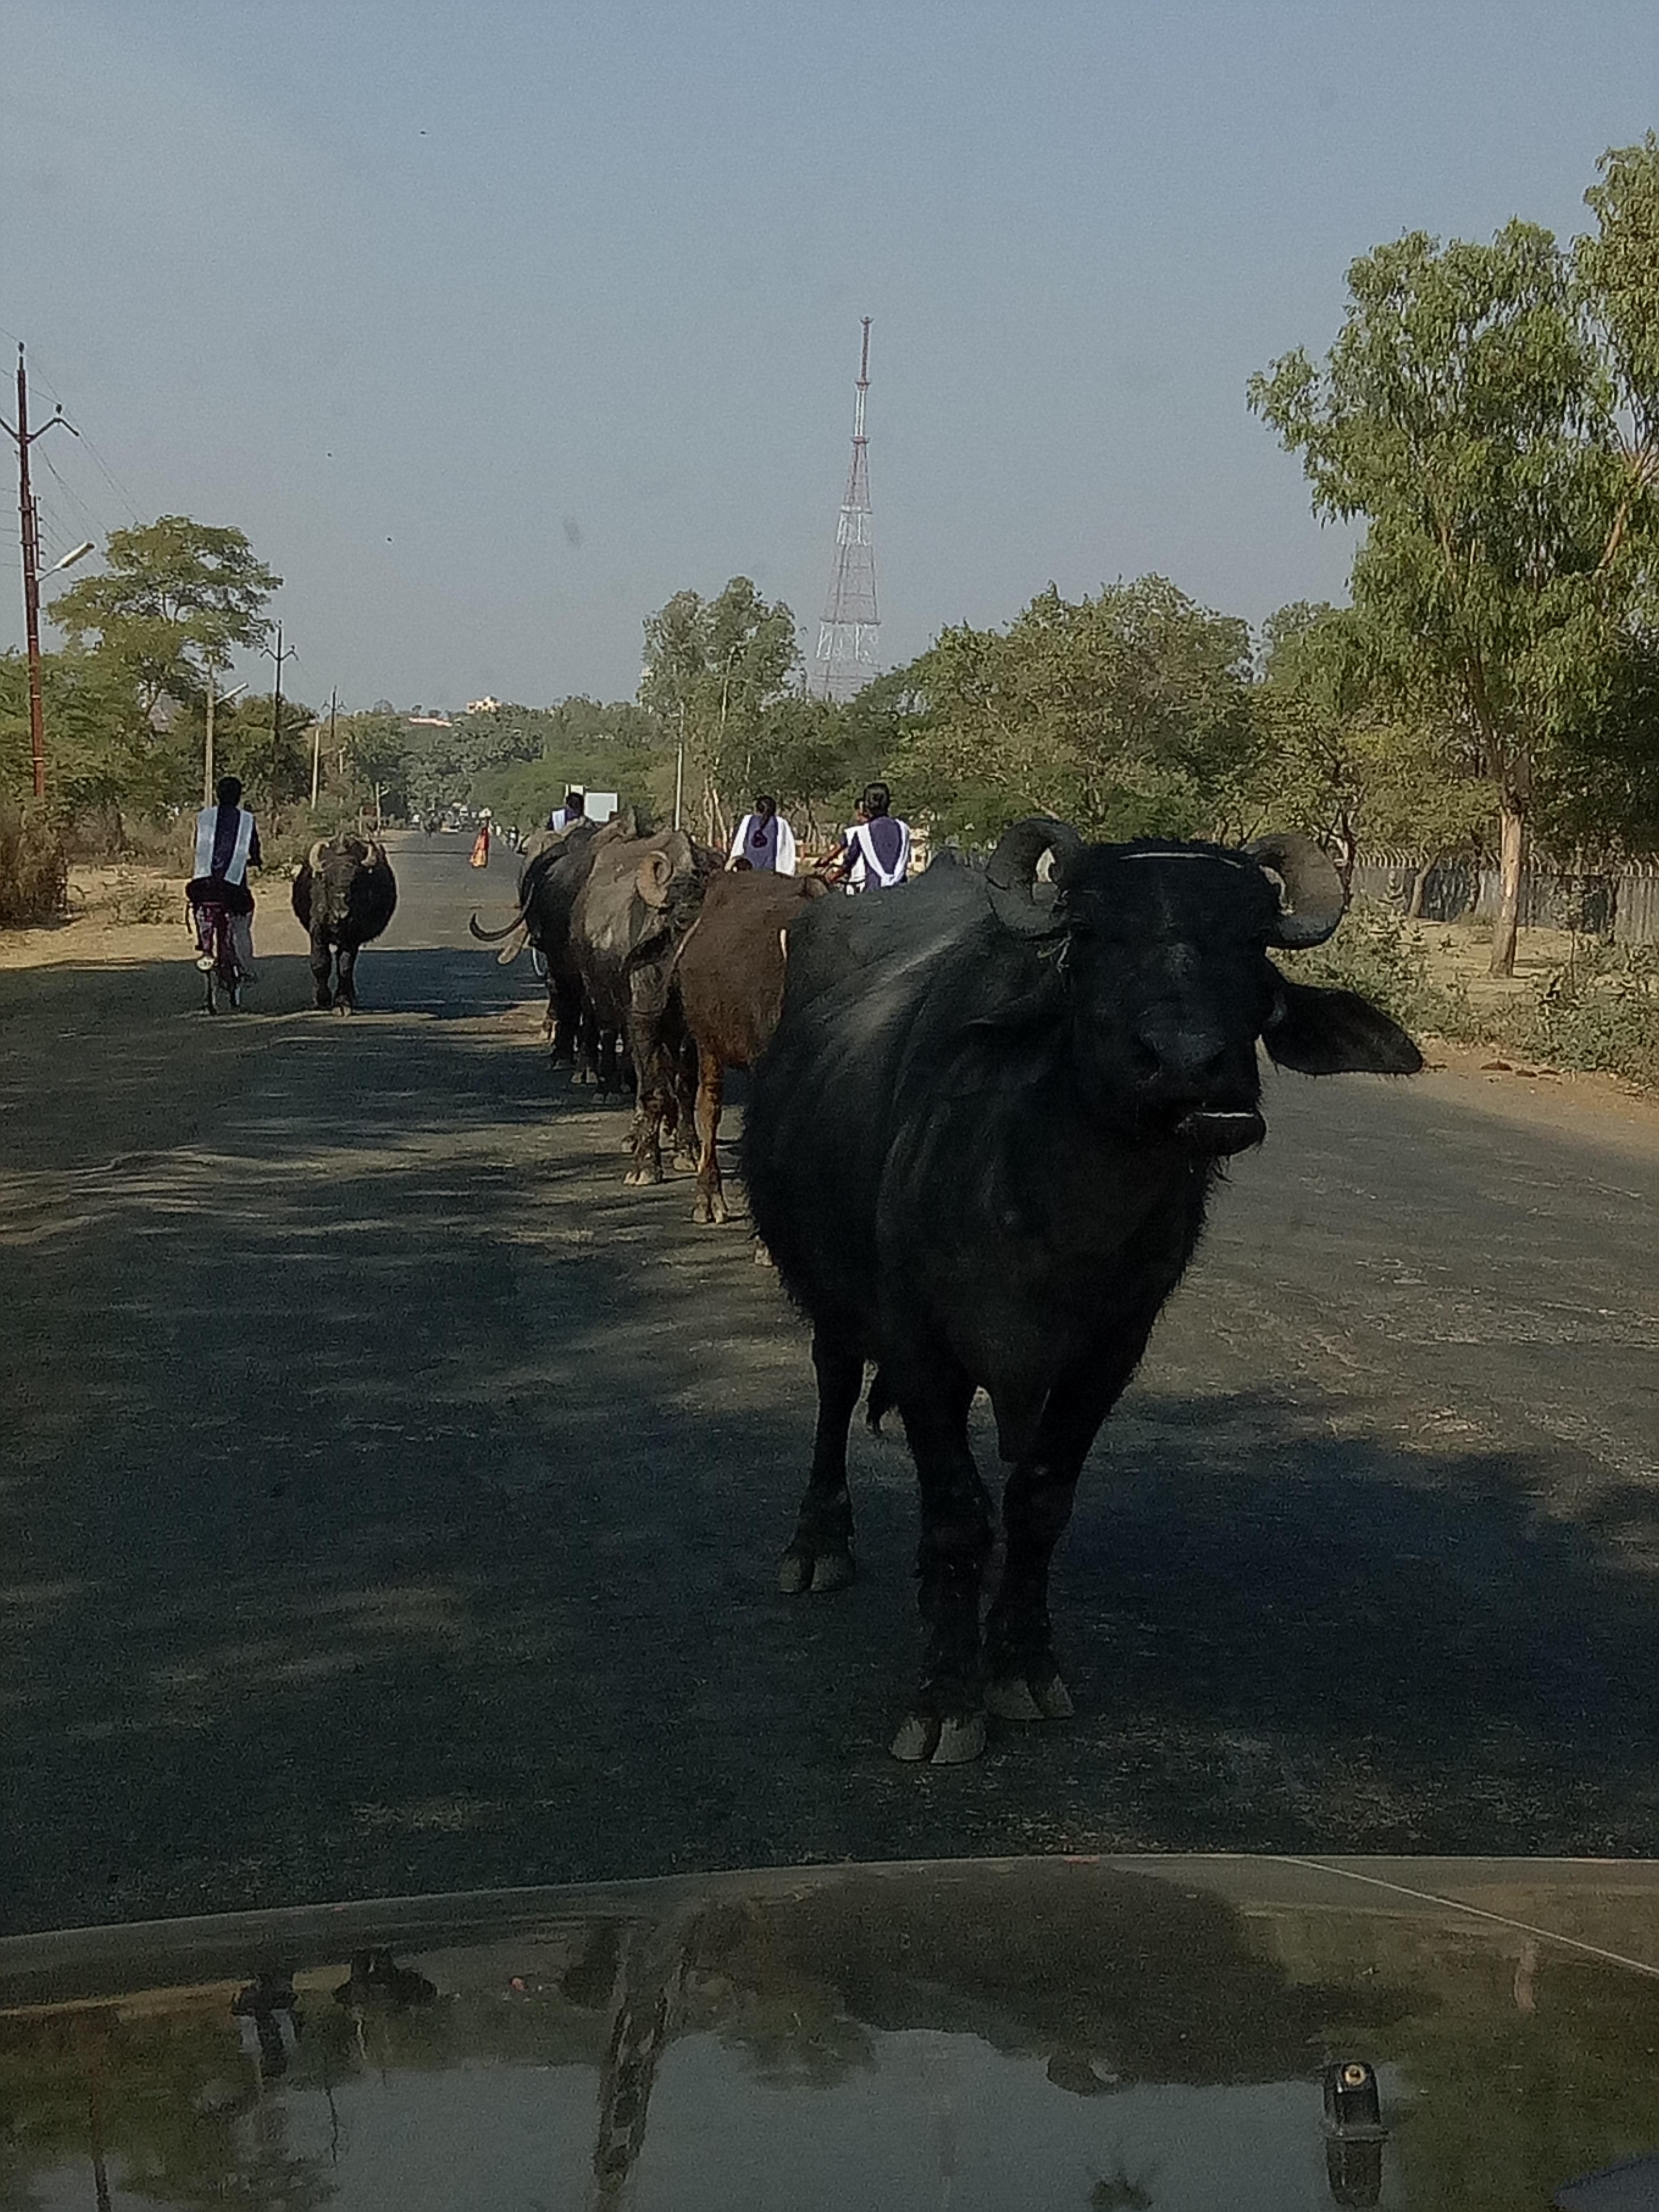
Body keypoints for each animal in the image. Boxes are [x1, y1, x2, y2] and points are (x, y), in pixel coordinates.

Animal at [291, 836, 398, 1012]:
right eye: (328, 880)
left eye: (354, 881)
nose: (341, 912)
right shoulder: (317, 931)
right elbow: (320, 963)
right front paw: (322, 999)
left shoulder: (352, 938)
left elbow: (345, 967)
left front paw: (343, 1001)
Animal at [742, 819, 1422, 1765]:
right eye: (1094, 939)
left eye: (1253, 943)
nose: (1191, 1069)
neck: (1050, 1212)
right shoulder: (920, 1343)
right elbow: (956, 1514)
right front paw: (945, 1697)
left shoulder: (1109, 1352)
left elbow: (1038, 1503)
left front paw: (1020, 1665)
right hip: (829, 1285)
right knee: (835, 1382)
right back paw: (818, 1545)